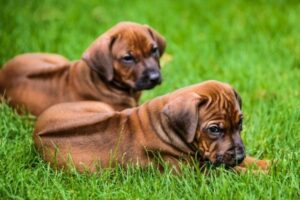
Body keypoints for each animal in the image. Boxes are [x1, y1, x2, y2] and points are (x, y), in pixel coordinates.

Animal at [34, 80, 268, 173]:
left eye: (240, 123)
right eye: (214, 129)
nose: (239, 155)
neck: (166, 128)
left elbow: (249, 163)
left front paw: (269, 163)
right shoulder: (195, 174)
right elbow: (234, 172)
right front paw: (261, 174)